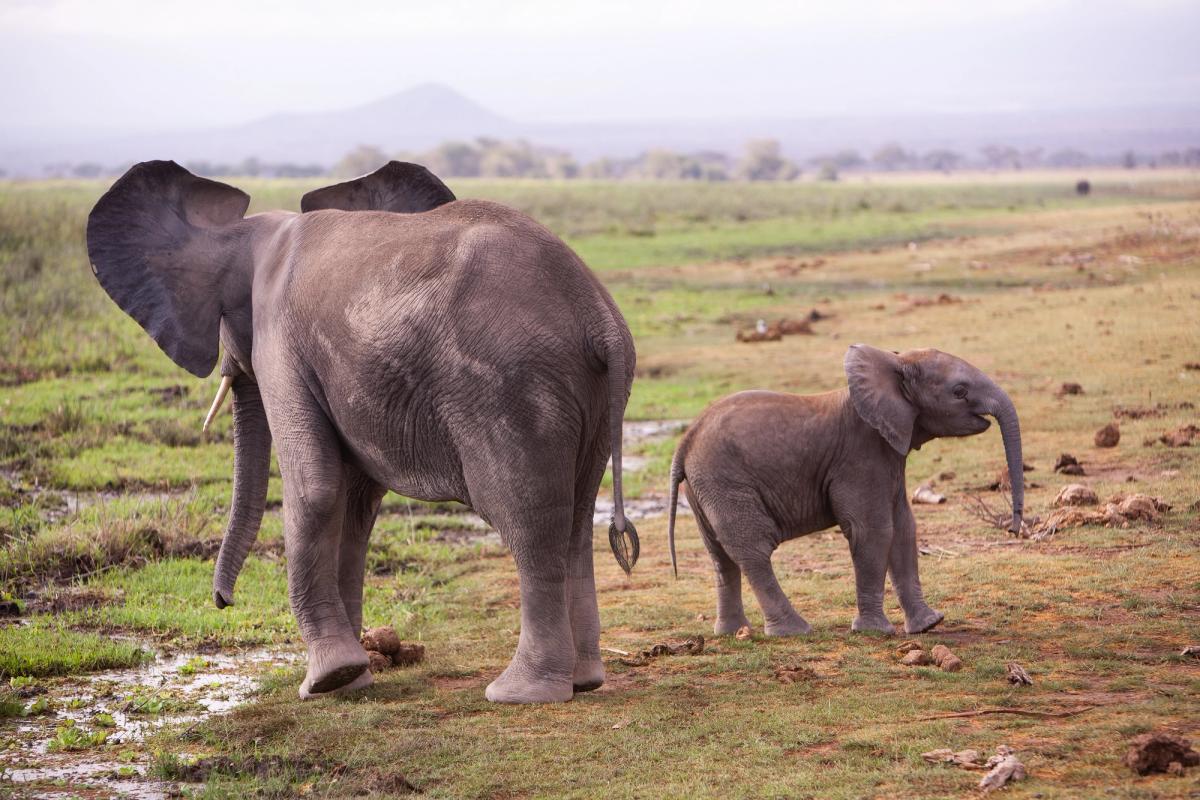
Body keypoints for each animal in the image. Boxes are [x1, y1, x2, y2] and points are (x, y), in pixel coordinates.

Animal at [86, 160, 639, 703]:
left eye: (225, 315)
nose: (223, 601)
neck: (253, 232)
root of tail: (598, 315)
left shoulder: (280, 345)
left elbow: (315, 487)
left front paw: (324, 682)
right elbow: (353, 503)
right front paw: (353, 677)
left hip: (512, 388)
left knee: (527, 518)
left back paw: (520, 693)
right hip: (586, 394)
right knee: (576, 515)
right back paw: (583, 682)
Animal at [666, 344, 1023, 637]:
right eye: (959, 391)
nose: (1013, 530)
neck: (894, 363)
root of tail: (685, 441)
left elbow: (904, 529)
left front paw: (929, 625)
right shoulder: (860, 456)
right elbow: (874, 530)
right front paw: (876, 631)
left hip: (703, 488)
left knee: (720, 555)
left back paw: (731, 633)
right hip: (726, 481)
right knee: (753, 549)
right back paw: (793, 631)